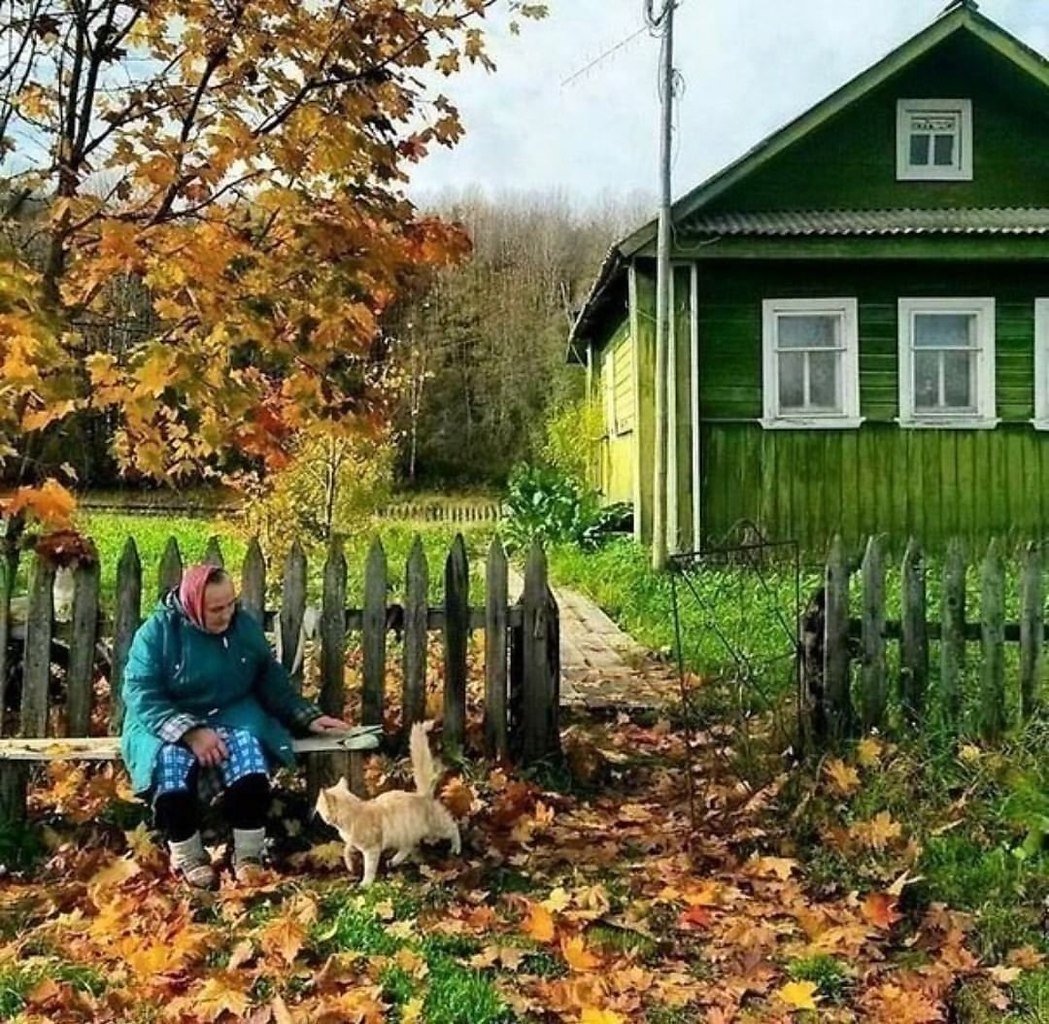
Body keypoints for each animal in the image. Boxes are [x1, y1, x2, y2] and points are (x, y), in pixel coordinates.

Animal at [310, 726, 459, 885]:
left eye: (318, 802)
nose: (314, 807)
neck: (354, 813)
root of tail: (422, 794)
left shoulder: (372, 850)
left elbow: (369, 868)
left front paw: (365, 883)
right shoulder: (353, 844)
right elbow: (346, 851)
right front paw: (350, 865)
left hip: (437, 828)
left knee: (453, 827)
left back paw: (456, 848)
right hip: (404, 833)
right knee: (408, 846)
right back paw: (393, 861)